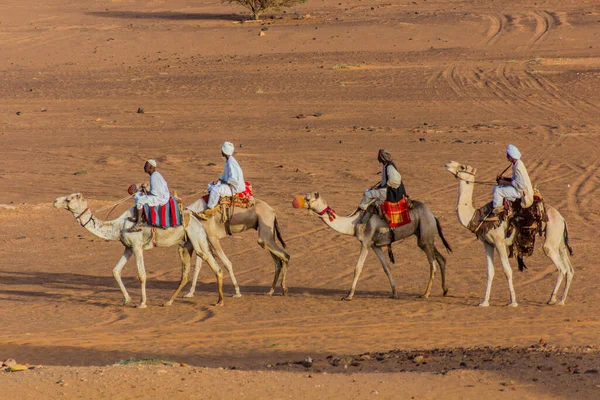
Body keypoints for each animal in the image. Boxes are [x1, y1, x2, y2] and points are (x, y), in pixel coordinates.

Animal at [52, 193, 223, 306]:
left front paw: (142, 303)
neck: (118, 226)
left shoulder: (136, 246)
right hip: (185, 244)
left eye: (69, 199)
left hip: (196, 236)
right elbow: (115, 271)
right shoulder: (128, 247)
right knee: (186, 273)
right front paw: (127, 300)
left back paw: (220, 301)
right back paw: (169, 301)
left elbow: (142, 275)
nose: (54, 201)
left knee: (212, 263)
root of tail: (198, 219)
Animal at [290, 191, 450, 300]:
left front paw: (348, 296)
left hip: (425, 234)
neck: (353, 223)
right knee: (441, 259)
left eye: (308, 198)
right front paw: (395, 293)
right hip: (424, 236)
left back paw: (425, 294)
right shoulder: (375, 246)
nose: (294, 202)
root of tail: (433, 216)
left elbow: (357, 268)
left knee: (433, 264)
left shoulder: (366, 242)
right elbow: (386, 268)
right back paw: (445, 290)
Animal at [442, 160, 576, 306]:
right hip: (559, 239)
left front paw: (513, 301)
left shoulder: (499, 242)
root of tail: (562, 219)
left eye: (462, 167)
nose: (448, 163)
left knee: (561, 266)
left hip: (552, 234)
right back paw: (561, 300)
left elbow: (507, 271)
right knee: (569, 269)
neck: (478, 216)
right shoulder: (487, 243)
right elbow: (490, 272)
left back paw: (552, 299)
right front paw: (484, 302)